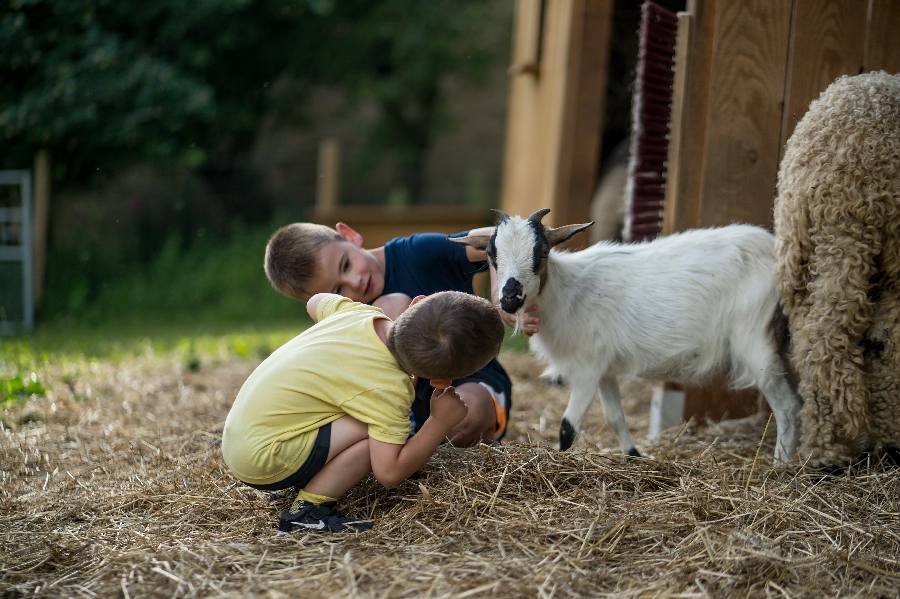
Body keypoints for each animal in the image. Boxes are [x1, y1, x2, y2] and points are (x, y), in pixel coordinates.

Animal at [458, 209, 800, 466]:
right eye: (491, 253)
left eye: (541, 252)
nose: (509, 297)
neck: (567, 294)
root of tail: (776, 251)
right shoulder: (603, 367)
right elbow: (614, 417)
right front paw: (635, 456)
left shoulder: (586, 366)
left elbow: (569, 426)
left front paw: (561, 462)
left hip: (755, 338)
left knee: (786, 405)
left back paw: (780, 465)